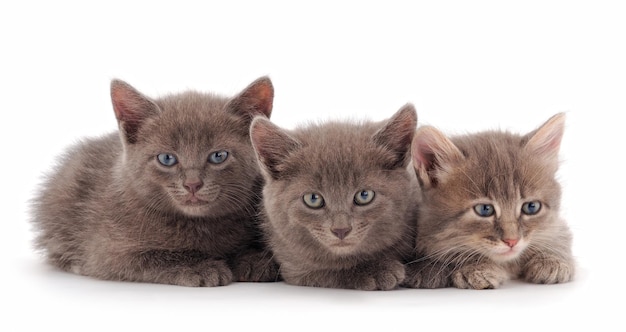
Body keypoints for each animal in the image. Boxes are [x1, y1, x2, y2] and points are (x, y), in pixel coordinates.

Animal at [29, 76, 278, 286]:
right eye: (167, 159)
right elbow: (148, 257)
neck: (199, 224)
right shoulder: (104, 251)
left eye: (219, 156)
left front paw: (255, 259)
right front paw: (201, 267)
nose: (192, 184)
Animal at [250, 105, 420, 290]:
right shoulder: (293, 263)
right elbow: (323, 270)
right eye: (313, 199)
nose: (341, 230)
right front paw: (375, 270)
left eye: (364, 195)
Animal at [402, 113, 572, 290]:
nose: (512, 241)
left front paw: (552, 260)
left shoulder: (556, 224)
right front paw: (477, 268)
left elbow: (559, 235)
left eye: (531, 207)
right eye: (484, 209)